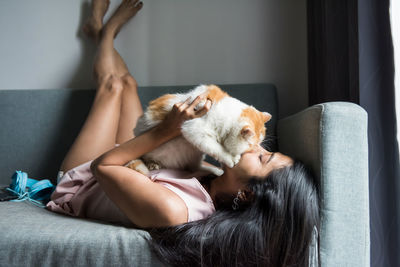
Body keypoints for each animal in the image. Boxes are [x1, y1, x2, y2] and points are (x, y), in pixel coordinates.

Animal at [126, 85, 272, 177]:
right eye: (252, 145)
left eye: (259, 143)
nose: (258, 149)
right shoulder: (194, 130)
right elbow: (217, 148)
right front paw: (231, 159)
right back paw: (152, 164)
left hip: (195, 154)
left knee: (195, 167)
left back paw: (214, 171)